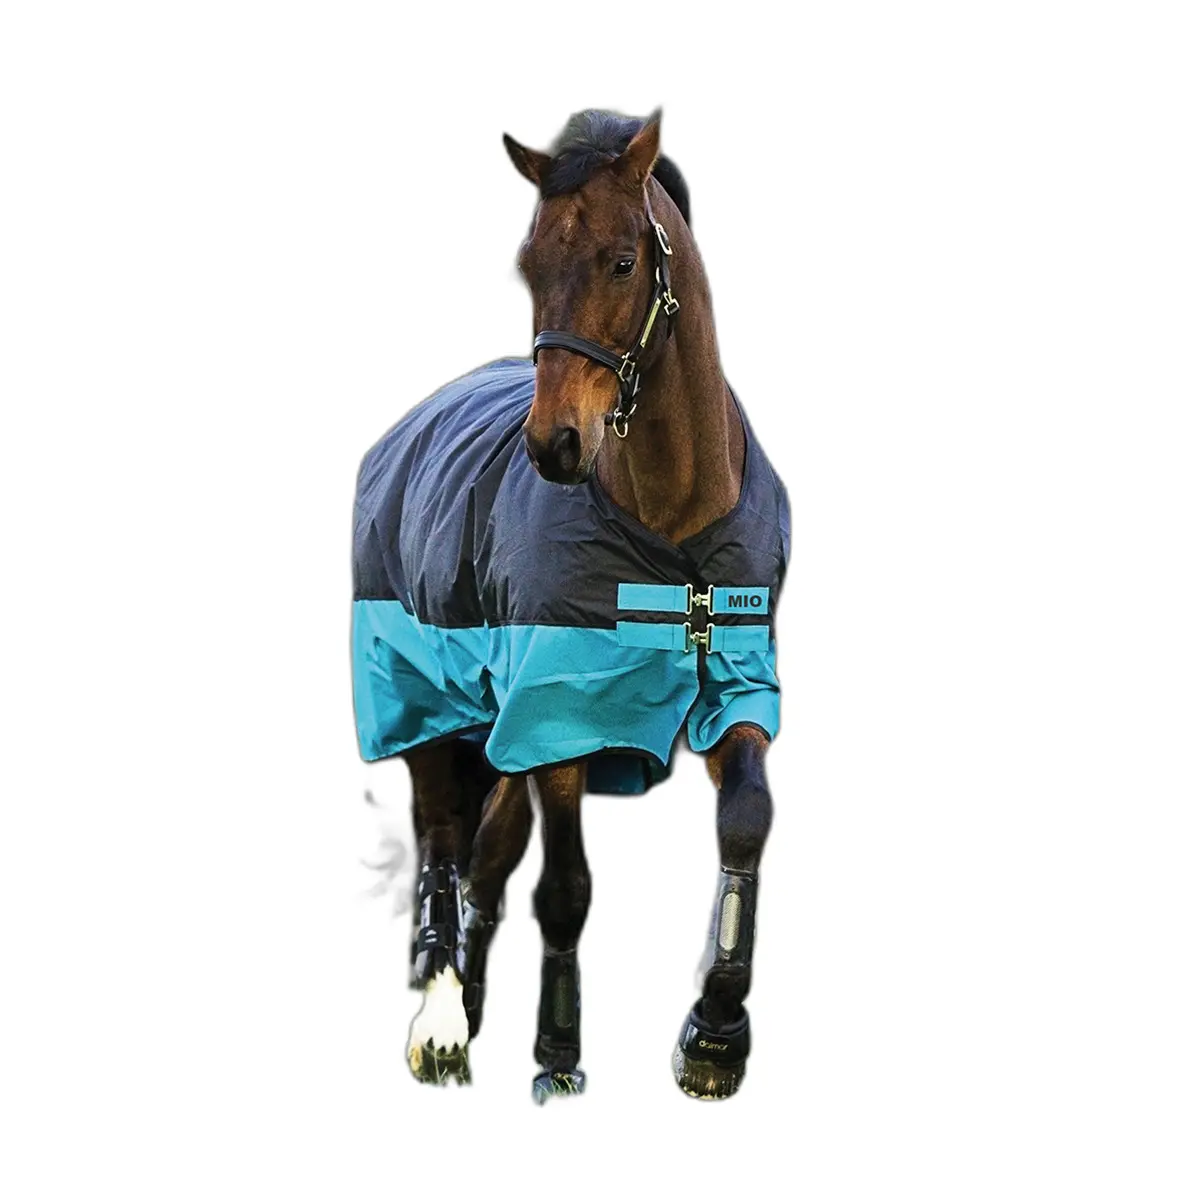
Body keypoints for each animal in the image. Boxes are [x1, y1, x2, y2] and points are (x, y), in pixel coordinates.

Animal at [352, 109, 790, 1101]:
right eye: (529, 263)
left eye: (624, 261)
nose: (554, 444)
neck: (670, 526)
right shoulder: (560, 717)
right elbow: (566, 888)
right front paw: (557, 1056)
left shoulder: (737, 686)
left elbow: (746, 817)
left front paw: (716, 1034)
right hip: (428, 701)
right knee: (445, 838)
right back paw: (441, 1020)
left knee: (487, 853)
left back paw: (470, 1002)